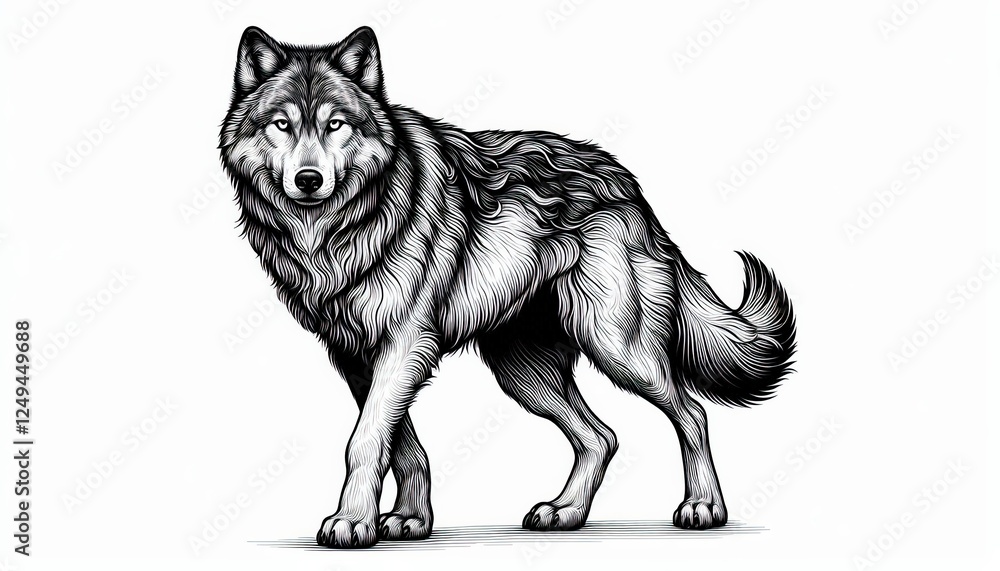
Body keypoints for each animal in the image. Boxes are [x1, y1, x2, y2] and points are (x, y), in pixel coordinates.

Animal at [220, 26, 796, 548]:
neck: (339, 228)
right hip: (524, 374)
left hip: (618, 350)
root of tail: (629, 184)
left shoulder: (402, 346)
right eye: (281, 125)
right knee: (602, 437)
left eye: (335, 124)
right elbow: (401, 446)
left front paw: (352, 524)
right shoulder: (358, 356)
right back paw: (566, 512)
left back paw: (703, 508)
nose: (309, 180)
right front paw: (409, 520)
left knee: (691, 413)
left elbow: (364, 444)